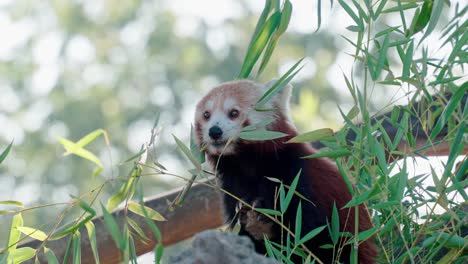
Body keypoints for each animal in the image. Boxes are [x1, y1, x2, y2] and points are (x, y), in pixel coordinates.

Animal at [193, 80, 376, 264]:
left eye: (233, 113)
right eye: (206, 115)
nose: (214, 131)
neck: (246, 162)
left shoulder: (295, 175)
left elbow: (308, 235)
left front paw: (262, 211)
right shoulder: (232, 185)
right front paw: (248, 214)